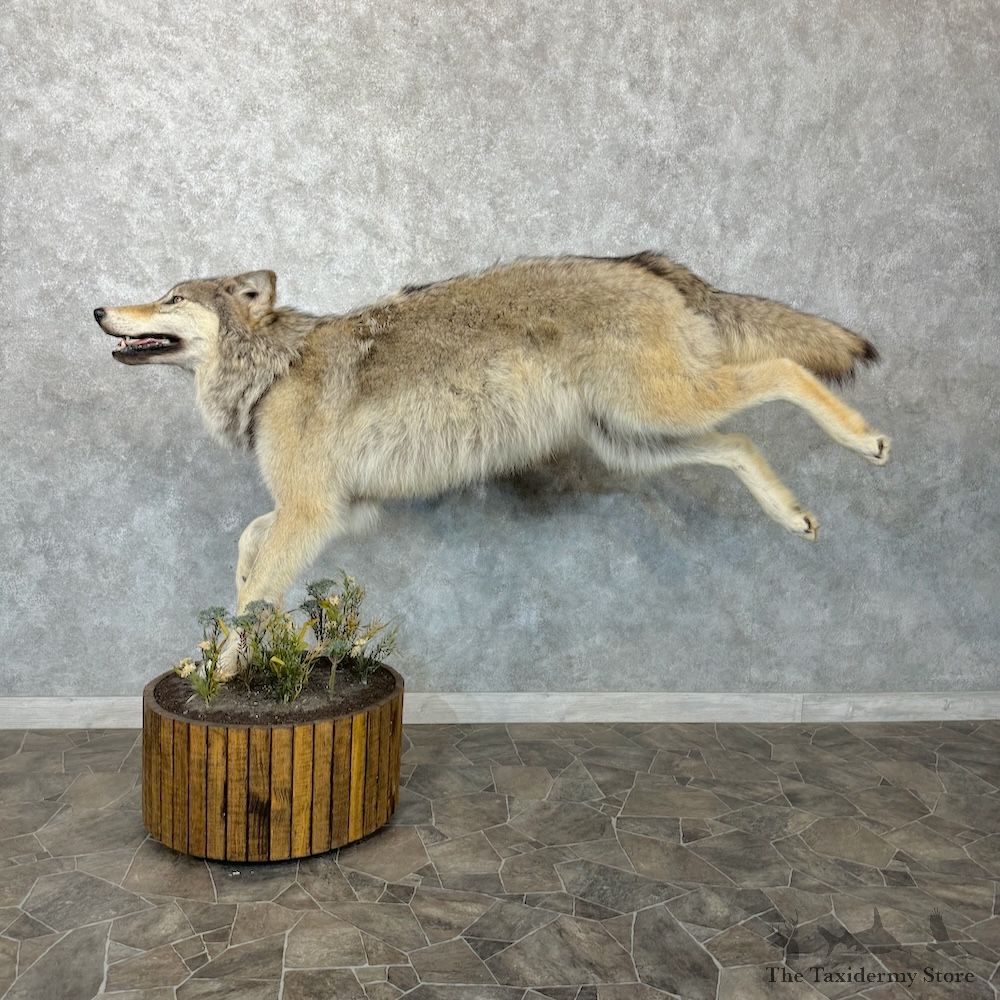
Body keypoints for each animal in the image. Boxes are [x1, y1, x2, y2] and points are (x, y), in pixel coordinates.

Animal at [94, 252, 889, 624]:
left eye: (170, 298)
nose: (99, 309)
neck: (273, 370)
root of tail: (645, 262)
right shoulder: (341, 510)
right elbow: (248, 540)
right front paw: (236, 584)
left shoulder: (312, 512)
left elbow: (257, 595)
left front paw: (224, 660)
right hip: (640, 437)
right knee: (740, 444)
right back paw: (793, 514)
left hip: (662, 408)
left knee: (783, 371)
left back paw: (868, 442)